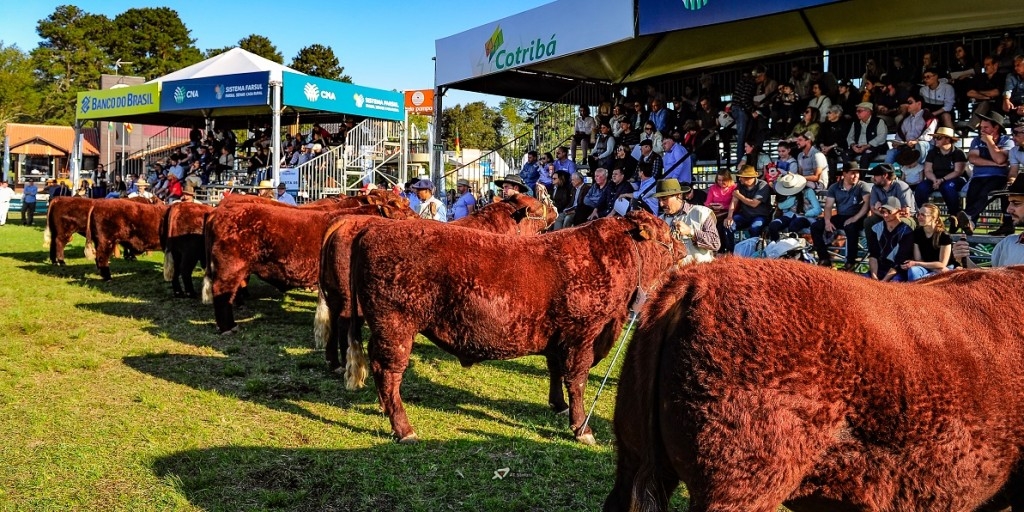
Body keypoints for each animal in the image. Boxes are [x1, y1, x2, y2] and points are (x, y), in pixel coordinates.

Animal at [315, 193, 561, 370]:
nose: (555, 209)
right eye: (538, 205)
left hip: (335, 294)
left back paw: (333, 361)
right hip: (350, 299)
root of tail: (345, 221)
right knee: (344, 324)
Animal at [346, 210, 688, 444]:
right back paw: (404, 428)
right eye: (665, 232)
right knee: (388, 371)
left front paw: (558, 406)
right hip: (396, 327)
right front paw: (582, 428)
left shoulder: (559, 338)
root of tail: (374, 227)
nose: (684, 249)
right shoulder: (581, 335)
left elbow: (555, 370)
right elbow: (577, 381)